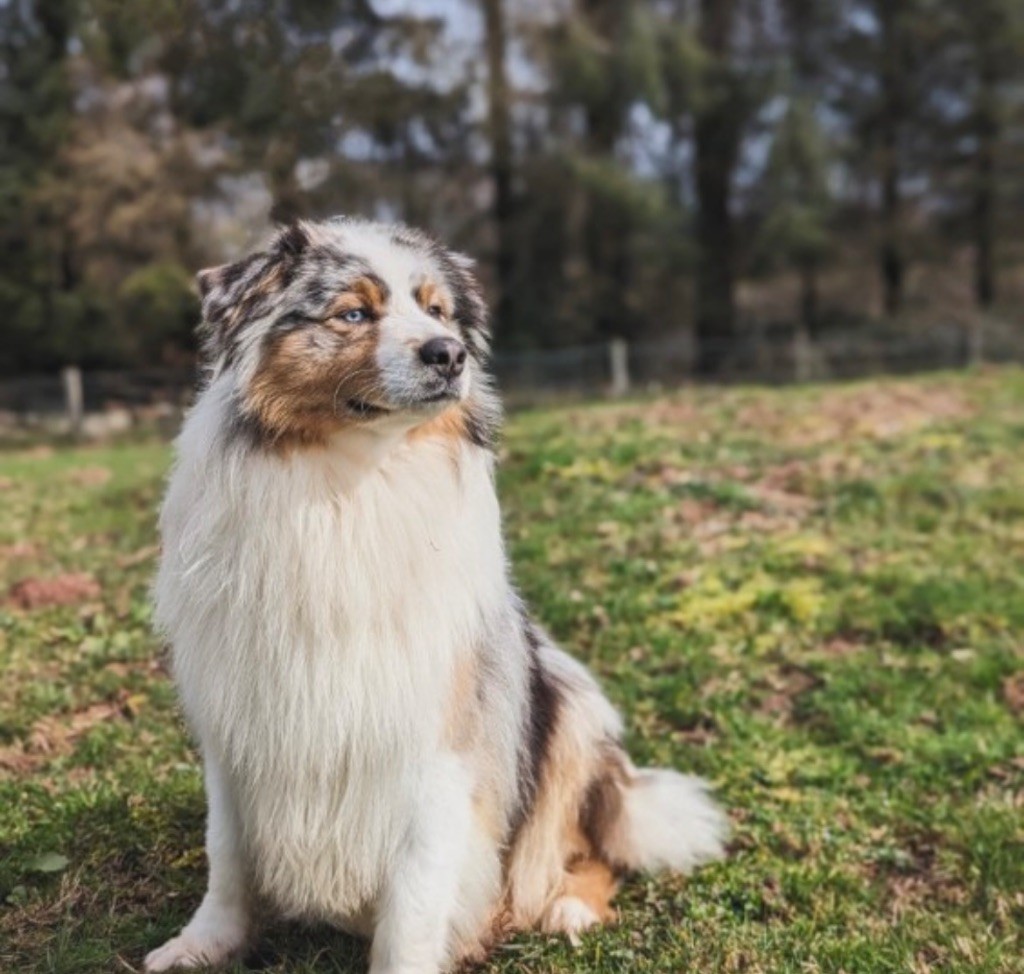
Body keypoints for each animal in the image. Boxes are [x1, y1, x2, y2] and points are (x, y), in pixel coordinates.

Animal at [144, 221, 729, 974]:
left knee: (586, 846)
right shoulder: (237, 722)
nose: (449, 354)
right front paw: (202, 944)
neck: (351, 488)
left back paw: (568, 905)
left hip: (568, 706)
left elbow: (415, 901)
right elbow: (227, 855)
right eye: (353, 313)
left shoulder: (437, 744)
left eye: (438, 312)